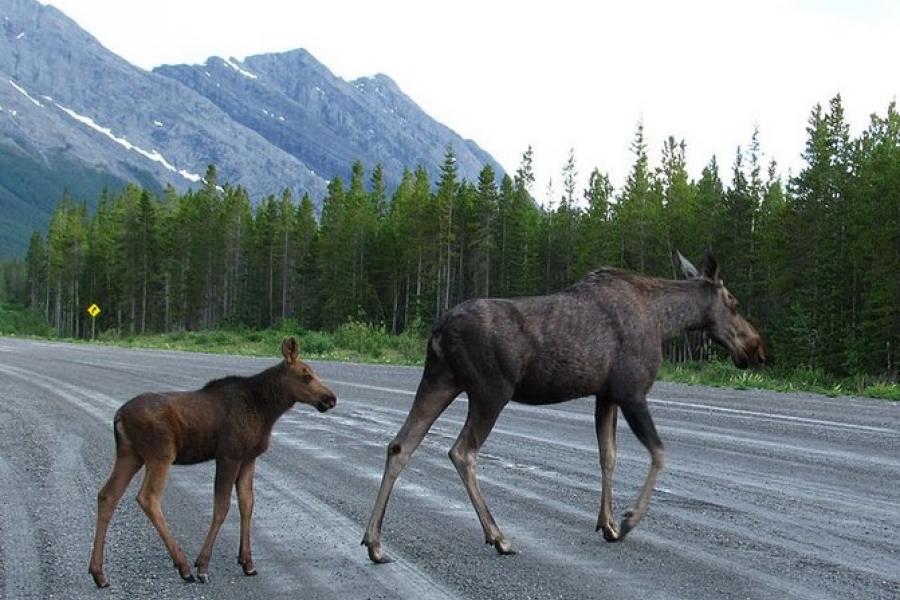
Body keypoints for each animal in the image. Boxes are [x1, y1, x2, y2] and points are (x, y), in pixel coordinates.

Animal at [89, 336, 338, 588]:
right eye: (306, 375)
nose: (331, 398)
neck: (267, 410)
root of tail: (118, 415)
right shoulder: (229, 455)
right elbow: (222, 507)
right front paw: (203, 566)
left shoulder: (248, 459)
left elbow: (248, 504)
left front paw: (247, 563)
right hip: (160, 453)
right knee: (148, 497)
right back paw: (183, 566)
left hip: (130, 454)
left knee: (107, 495)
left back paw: (99, 573)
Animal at [362, 251, 764, 560]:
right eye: (734, 302)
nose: (757, 349)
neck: (665, 321)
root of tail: (439, 330)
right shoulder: (632, 390)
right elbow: (659, 453)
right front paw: (629, 519)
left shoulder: (606, 394)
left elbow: (608, 456)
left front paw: (607, 523)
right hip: (490, 390)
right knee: (462, 451)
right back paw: (498, 536)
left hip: (440, 380)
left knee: (400, 445)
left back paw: (375, 542)